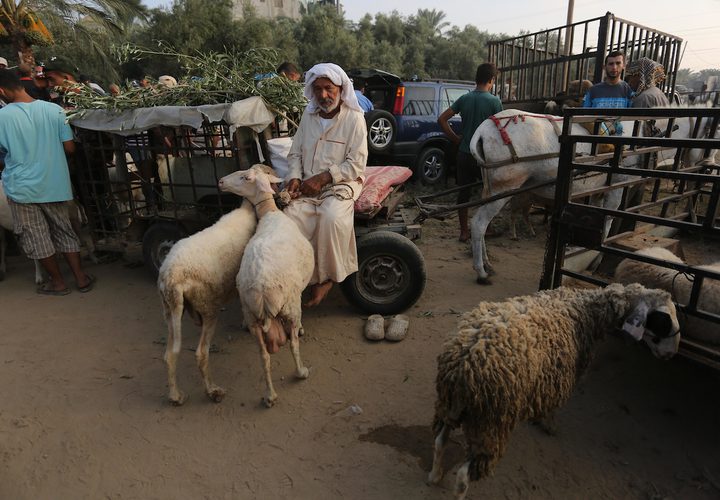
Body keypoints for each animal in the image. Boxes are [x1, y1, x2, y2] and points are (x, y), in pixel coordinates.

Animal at [160, 164, 276, 406]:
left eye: (244, 176)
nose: (221, 181)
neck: (246, 210)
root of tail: (172, 277)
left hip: (170, 309)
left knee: (170, 354)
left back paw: (175, 395)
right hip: (208, 306)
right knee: (201, 353)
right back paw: (213, 391)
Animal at [217, 166, 312, 408]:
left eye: (244, 177)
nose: (220, 182)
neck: (270, 213)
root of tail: (261, 289)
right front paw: (302, 329)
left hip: (252, 318)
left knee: (264, 356)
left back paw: (270, 396)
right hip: (290, 304)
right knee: (293, 344)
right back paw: (301, 372)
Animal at [428, 284, 680, 498]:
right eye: (663, 319)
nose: (671, 354)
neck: (585, 309)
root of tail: (463, 364)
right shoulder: (558, 379)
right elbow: (552, 408)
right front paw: (549, 425)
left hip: (451, 407)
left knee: (440, 441)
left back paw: (434, 476)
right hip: (491, 421)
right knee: (463, 476)